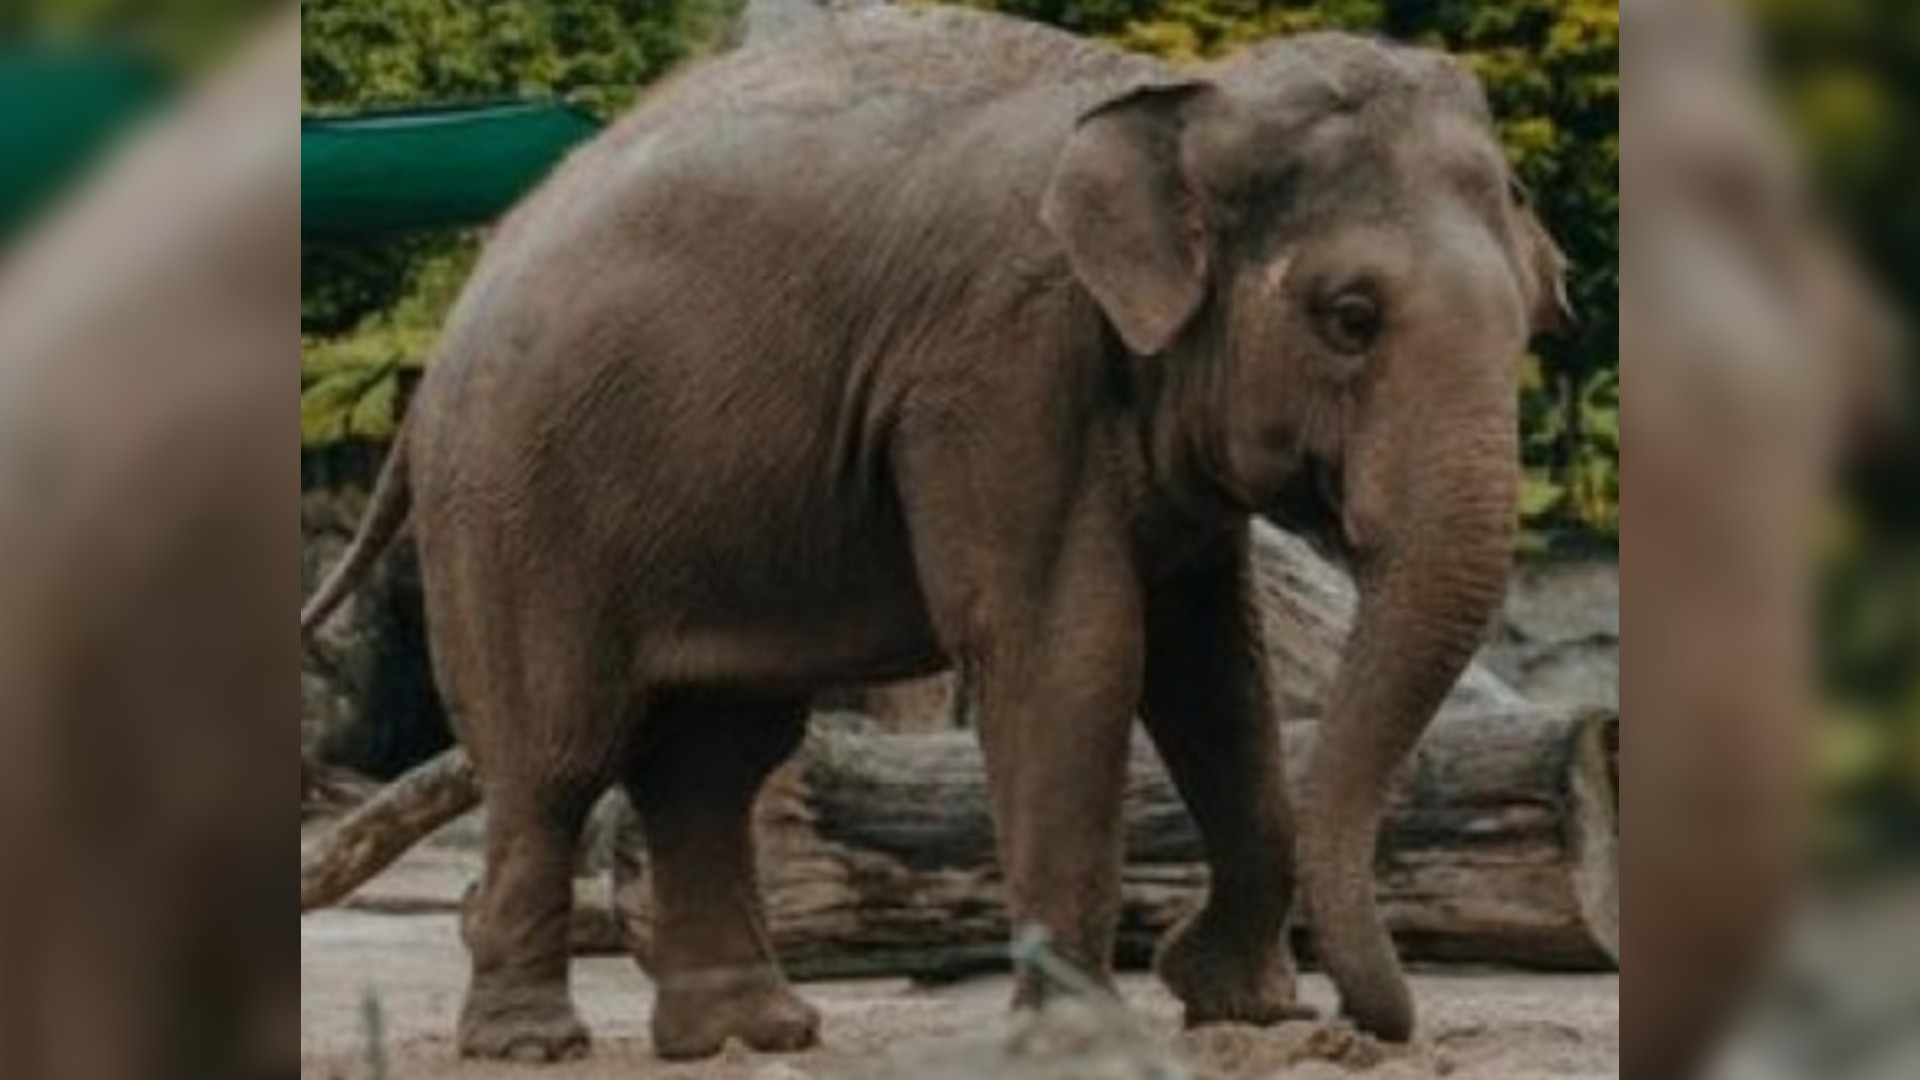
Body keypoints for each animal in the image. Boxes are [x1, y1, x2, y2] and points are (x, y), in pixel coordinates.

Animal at [302, 6, 1570, 1064]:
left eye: (1532, 319)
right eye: (1349, 319)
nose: (1369, 1027)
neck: (1174, 101)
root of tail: (448, 329)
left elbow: (1216, 671)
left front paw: (1239, 1006)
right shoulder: (996, 368)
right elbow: (1074, 649)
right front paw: (1087, 1036)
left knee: (715, 756)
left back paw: (750, 1033)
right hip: (514, 502)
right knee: (558, 754)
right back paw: (537, 1043)